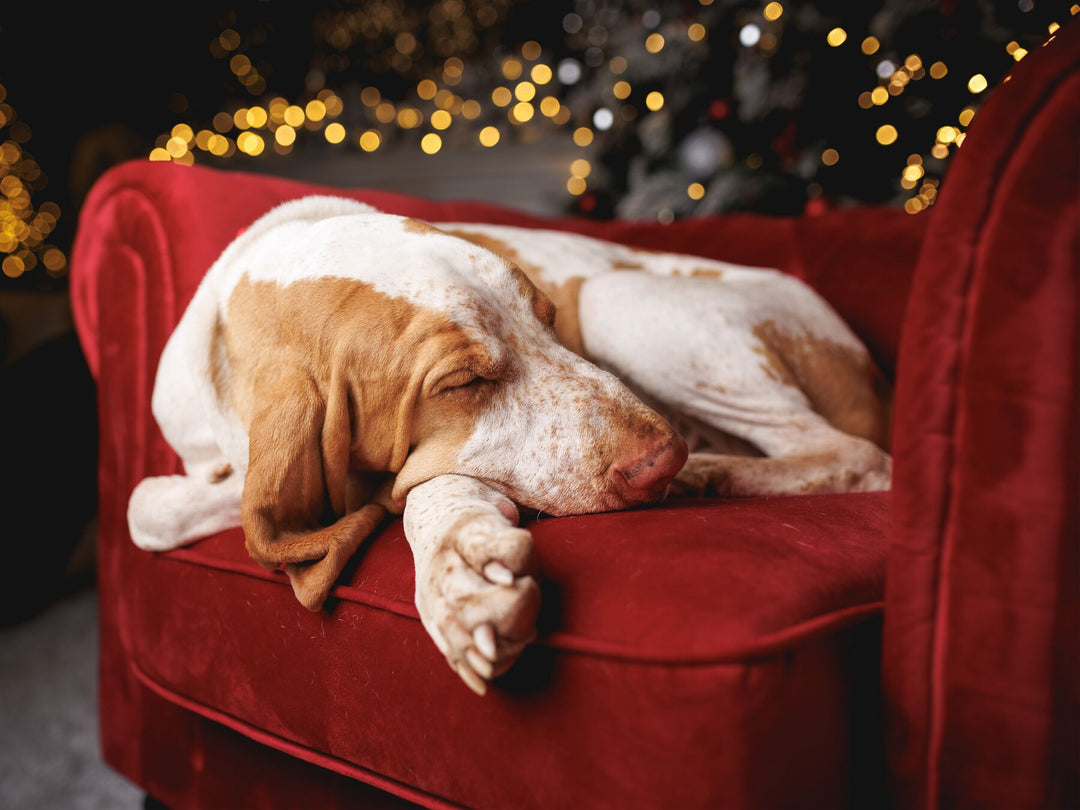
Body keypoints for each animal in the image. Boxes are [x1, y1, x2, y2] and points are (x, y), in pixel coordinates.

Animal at [128, 198, 885, 699]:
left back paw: (708, 473)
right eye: (464, 382)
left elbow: (414, 490)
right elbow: (149, 508)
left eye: (548, 322)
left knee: (858, 457)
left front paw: (456, 568)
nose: (661, 461)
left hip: (616, 299)